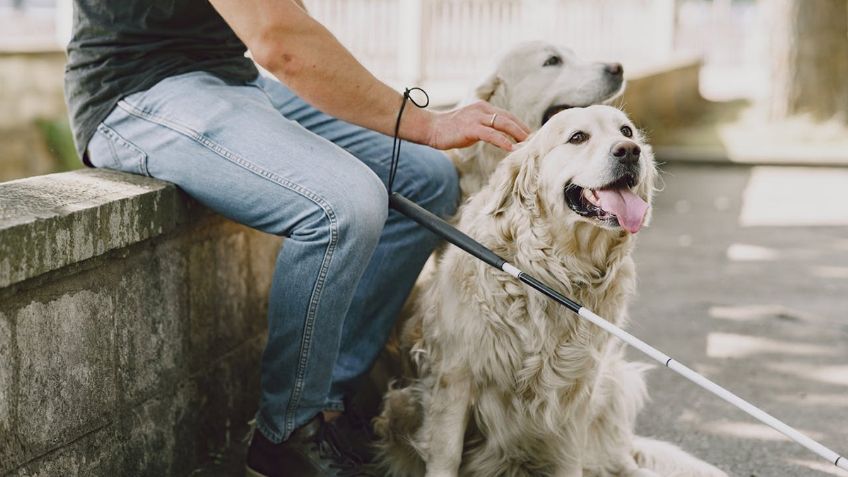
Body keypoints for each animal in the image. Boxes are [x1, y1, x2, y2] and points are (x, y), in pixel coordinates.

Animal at [374, 106, 724, 476]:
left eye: (626, 131)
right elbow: (446, 455)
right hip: (400, 403)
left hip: (613, 385)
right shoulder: (454, 375)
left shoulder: (578, 389)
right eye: (577, 137)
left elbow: (569, 458)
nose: (629, 151)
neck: (556, 271)